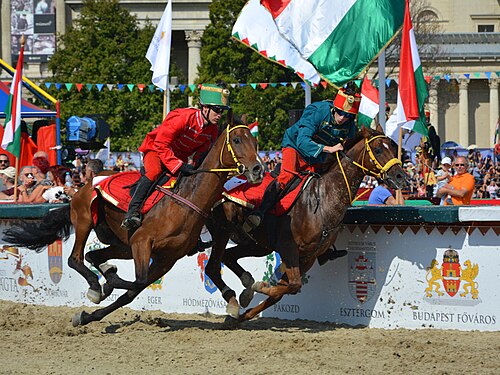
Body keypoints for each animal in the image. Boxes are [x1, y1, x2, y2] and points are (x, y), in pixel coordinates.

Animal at [3, 120, 266, 326]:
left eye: (255, 142)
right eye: (237, 140)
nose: (258, 169)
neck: (187, 199)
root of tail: (82, 187)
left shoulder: (166, 258)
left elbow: (131, 292)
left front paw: (90, 314)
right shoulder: (142, 242)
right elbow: (136, 283)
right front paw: (108, 285)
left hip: (123, 245)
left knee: (93, 256)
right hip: (86, 221)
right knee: (75, 258)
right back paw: (98, 284)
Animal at [203, 125, 406, 326]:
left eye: (392, 147)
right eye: (378, 150)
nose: (401, 176)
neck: (322, 200)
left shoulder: (308, 257)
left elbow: (285, 289)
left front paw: (245, 311)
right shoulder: (288, 248)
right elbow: (292, 285)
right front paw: (259, 286)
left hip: (257, 244)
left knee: (229, 256)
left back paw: (244, 290)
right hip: (223, 232)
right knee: (213, 265)